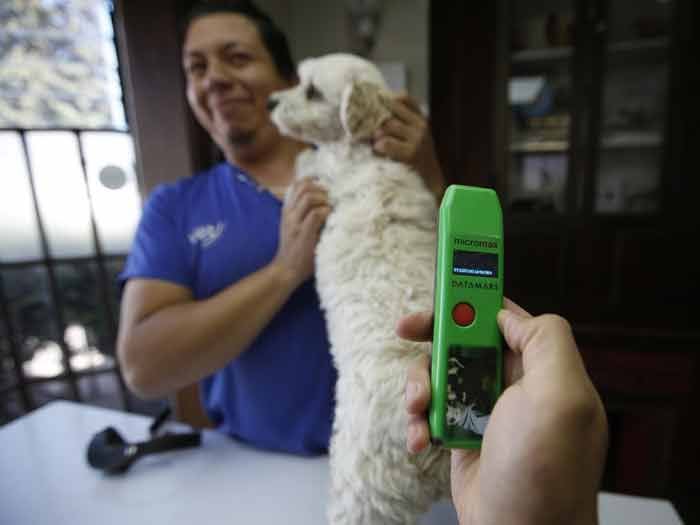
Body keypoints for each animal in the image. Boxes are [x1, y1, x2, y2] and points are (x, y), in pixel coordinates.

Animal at [270, 55, 452, 520]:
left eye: (311, 91)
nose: (269, 102)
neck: (365, 152)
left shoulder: (333, 168)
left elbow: (310, 163)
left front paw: (300, 160)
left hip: (362, 487)